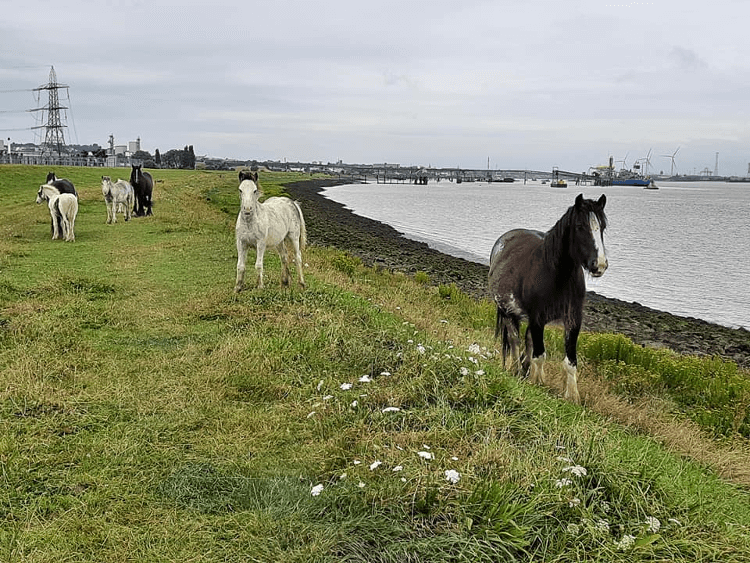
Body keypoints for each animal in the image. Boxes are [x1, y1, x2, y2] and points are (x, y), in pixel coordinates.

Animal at [488, 195, 612, 406]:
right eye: (580, 226)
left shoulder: (573, 319)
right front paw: (537, 383)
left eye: (602, 227)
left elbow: (570, 361)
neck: (557, 275)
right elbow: (540, 354)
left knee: (527, 341)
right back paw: (516, 369)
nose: (600, 265)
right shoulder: (537, 317)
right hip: (507, 312)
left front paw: (572, 396)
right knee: (514, 340)